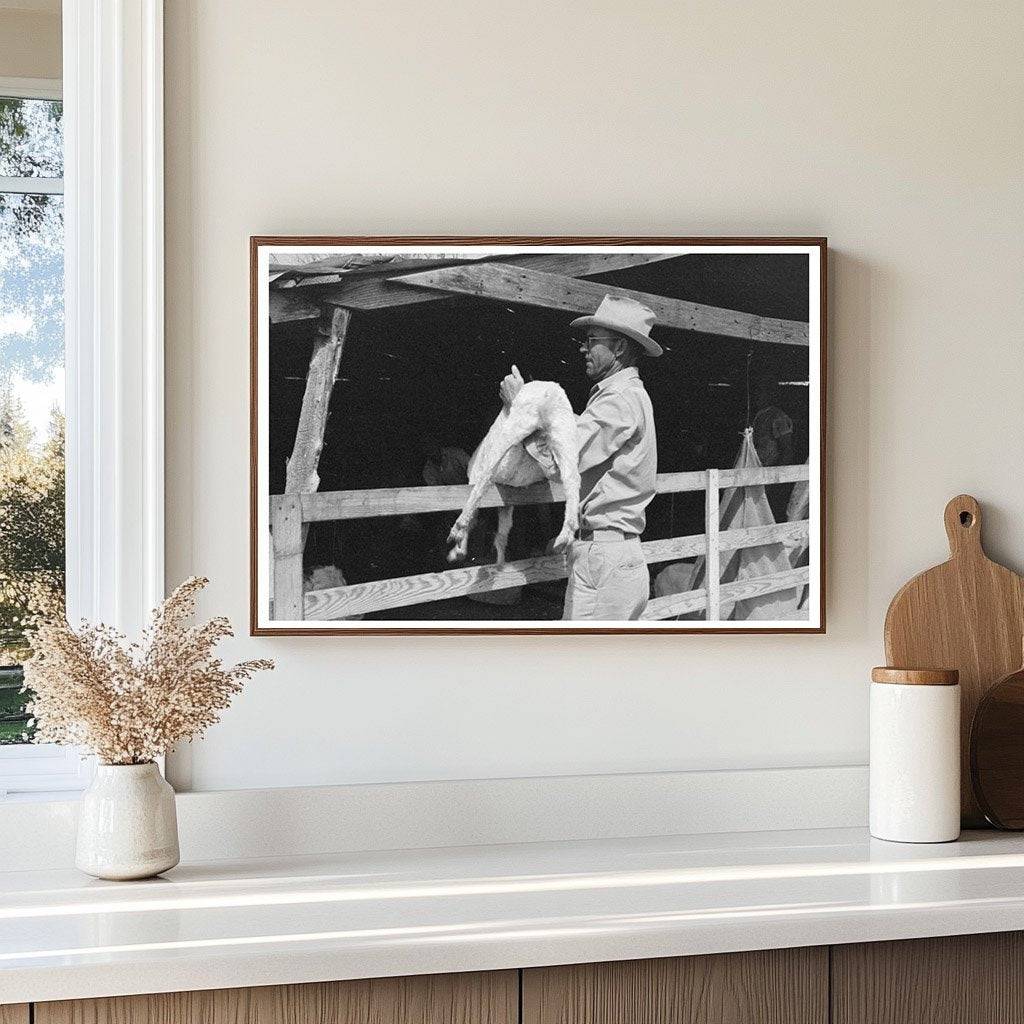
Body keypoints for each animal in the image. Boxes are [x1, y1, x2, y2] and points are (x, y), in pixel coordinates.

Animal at [446, 366, 581, 569]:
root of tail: (549, 390)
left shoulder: (478, 481)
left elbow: (482, 518)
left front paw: (459, 550)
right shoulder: (506, 500)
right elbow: (502, 533)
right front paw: (499, 564)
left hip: (518, 422)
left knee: (488, 472)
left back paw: (458, 526)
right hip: (563, 432)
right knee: (572, 479)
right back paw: (564, 537)